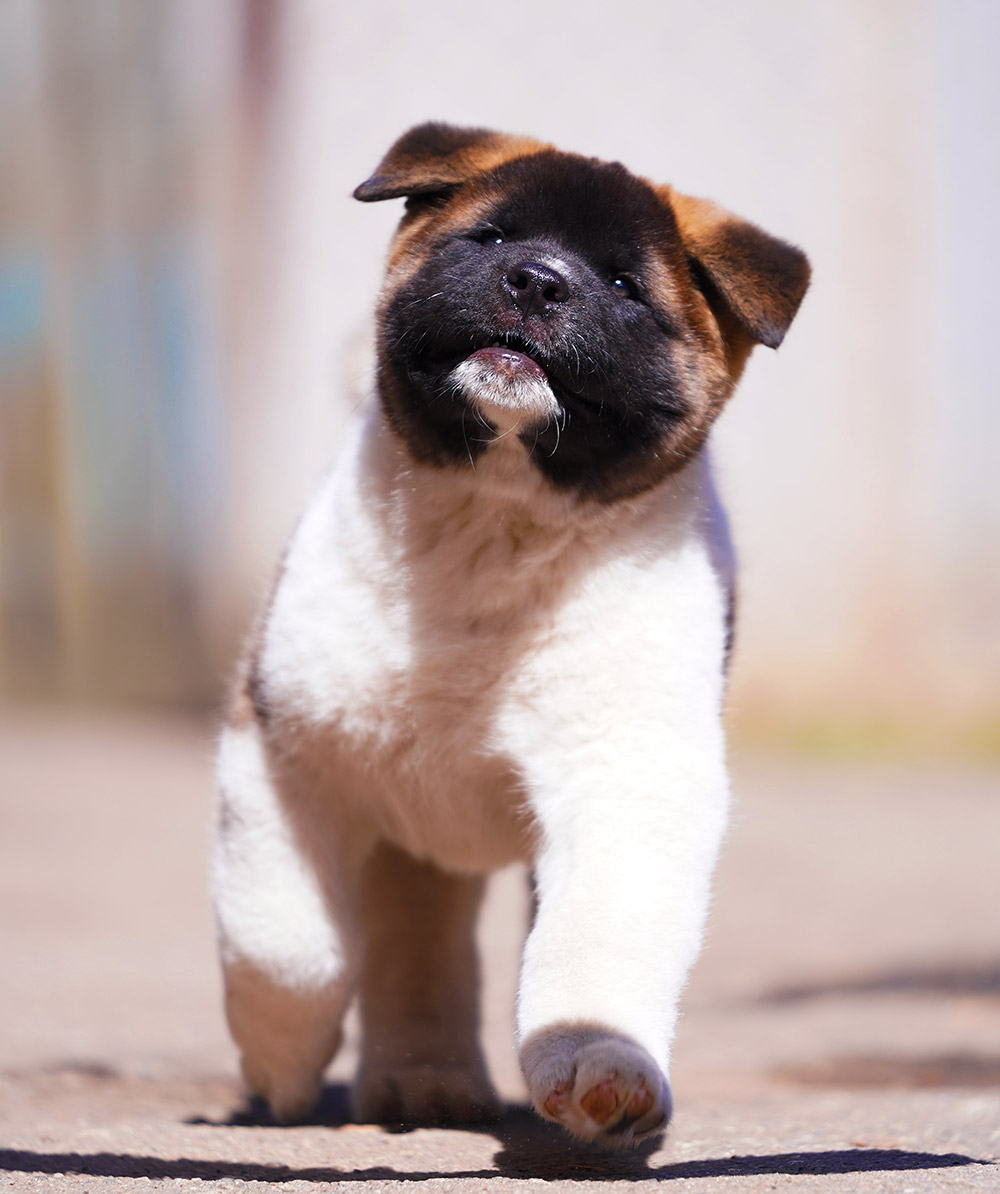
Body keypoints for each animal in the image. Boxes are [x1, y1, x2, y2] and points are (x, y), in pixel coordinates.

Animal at [213, 123, 816, 1146]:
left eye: (623, 285)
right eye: (492, 238)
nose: (536, 281)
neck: (495, 520)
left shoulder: (628, 780)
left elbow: (595, 944)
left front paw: (601, 1065)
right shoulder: (283, 748)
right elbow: (286, 942)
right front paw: (280, 1065)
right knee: (413, 940)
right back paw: (417, 1082)